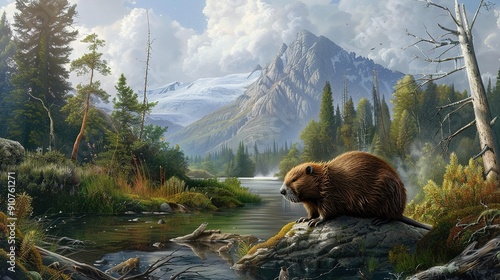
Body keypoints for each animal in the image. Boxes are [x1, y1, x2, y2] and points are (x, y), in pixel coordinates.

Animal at [280, 151, 432, 230]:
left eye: (294, 179)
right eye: (286, 178)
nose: (282, 191)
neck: (325, 179)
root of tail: (400, 211)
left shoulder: (331, 194)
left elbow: (327, 212)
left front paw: (316, 221)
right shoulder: (311, 202)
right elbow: (312, 211)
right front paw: (304, 218)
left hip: (390, 191)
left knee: (391, 217)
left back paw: (379, 220)